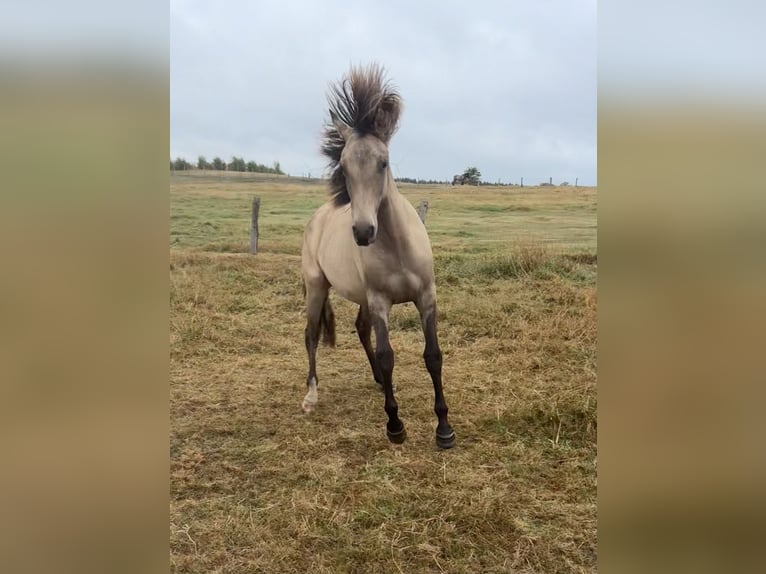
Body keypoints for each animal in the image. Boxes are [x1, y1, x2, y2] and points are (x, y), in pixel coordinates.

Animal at [300, 64, 456, 449]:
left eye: (383, 163)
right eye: (343, 166)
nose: (363, 232)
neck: (397, 247)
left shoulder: (426, 297)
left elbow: (433, 355)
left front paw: (444, 429)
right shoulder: (381, 301)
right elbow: (388, 356)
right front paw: (395, 425)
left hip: (360, 297)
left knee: (360, 329)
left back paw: (378, 383)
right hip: (317, 287)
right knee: (311, 335)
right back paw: (311, 397)